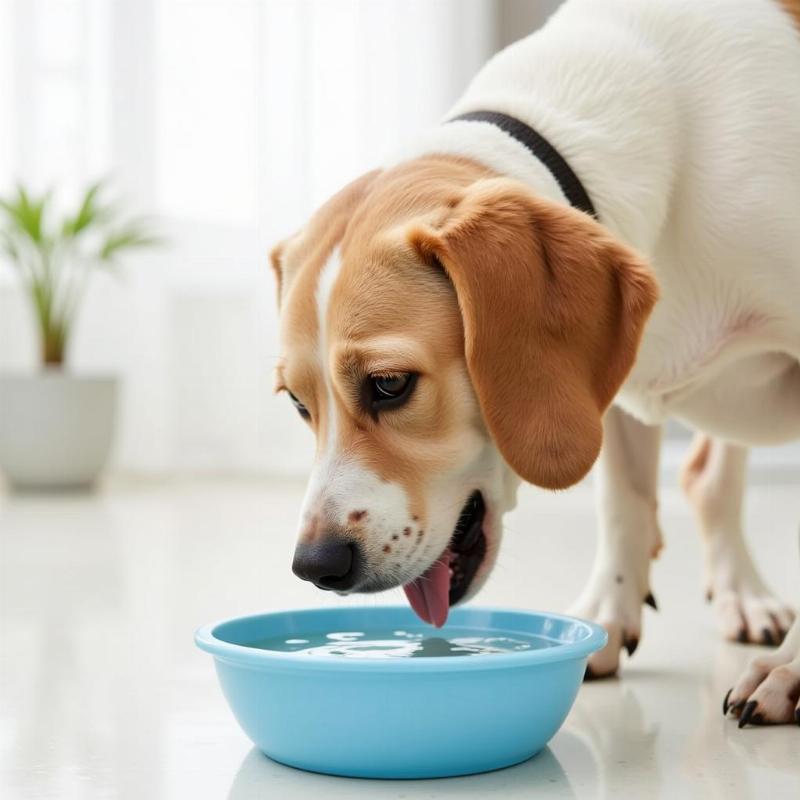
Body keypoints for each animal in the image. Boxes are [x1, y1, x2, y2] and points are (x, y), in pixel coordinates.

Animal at [270, 0, 800, 724]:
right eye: (299, 405)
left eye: (389, 385)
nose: (316, 566)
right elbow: (625, 500)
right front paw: (607, 615)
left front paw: (790, 672)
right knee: (706, 476)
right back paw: (741, 591)